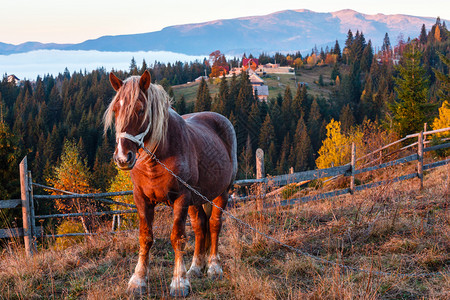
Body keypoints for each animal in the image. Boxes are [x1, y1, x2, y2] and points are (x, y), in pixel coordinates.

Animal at [103, 71, 237, 298]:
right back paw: (196, 268)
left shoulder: (181, 198)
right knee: (200, 226)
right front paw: (138, 281)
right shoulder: (141, 198)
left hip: (221, 193)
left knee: (214, 225)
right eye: (116, 110)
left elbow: (178, 237)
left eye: (140, 110)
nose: (122, 158)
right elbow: (145, 237)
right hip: (196, 200)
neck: (157, 158)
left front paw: (179, 283)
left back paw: (213, 267)